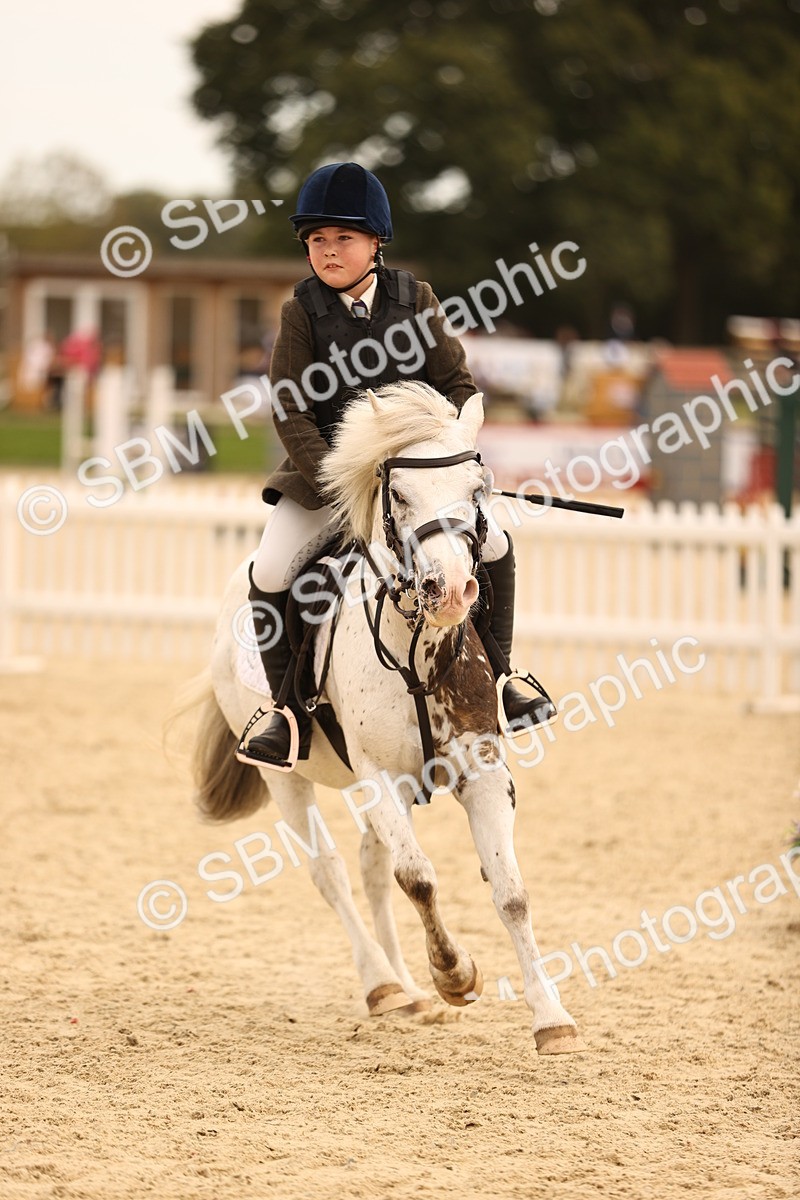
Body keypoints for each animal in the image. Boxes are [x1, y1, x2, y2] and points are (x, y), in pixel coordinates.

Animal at [193, 381, 585, 1055]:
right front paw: (456, 976)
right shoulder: (377, 776)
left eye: (477, 490)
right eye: (398, 495)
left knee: (370, 868)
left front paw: (551, 1018)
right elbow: (418, 877)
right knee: (330, 871)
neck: (416, 647)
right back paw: (383, 984)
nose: (449, 590)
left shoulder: (482, 772)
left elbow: (510, 892)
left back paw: (407, 990)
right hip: (287, 777)